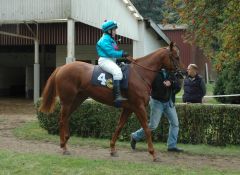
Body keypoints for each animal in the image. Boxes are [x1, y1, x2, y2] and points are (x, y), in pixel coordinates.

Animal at [39, 42, 182, 161]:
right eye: (176, 57)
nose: (181, 74)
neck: (140, 74)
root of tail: (61, 67)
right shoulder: (139, 107)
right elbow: (147, 128)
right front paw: (153, 154)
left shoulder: (129, 108)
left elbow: (119, 126)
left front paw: (113, 149)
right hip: (67, 100)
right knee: (62, 119)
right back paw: (64, 146)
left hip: (77, 99)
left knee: (66, 117)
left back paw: (66, 140)